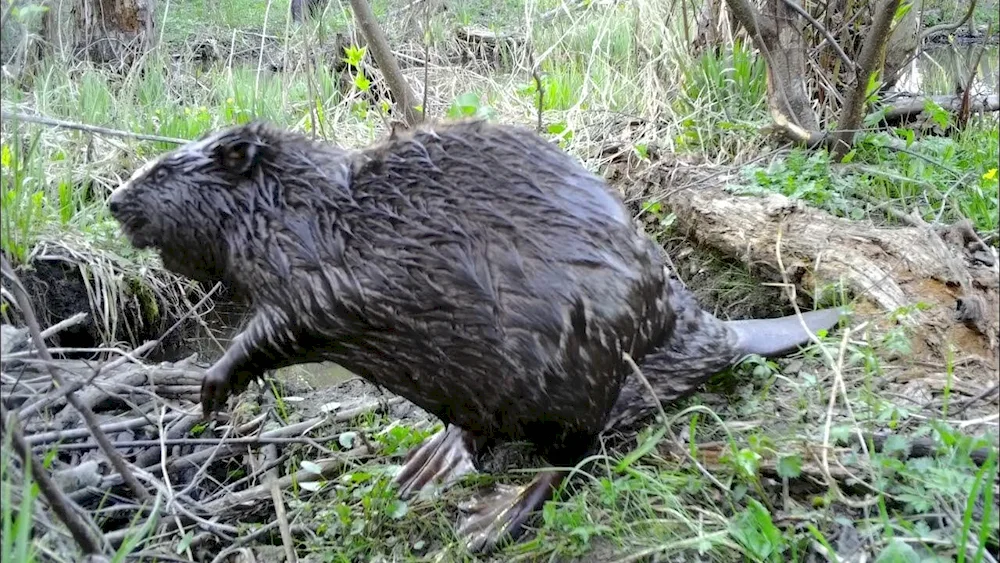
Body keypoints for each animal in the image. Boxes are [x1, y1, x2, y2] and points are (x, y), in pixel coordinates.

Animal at [109, 119, 844, 552]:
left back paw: (491, 518)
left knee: (575, 455)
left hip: (575, 372)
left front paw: (210, 389)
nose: (113, 199)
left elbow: (281, 325)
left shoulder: (326, 273)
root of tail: (707, 329)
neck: (306, 208)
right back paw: (426, 468)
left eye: (161, 172)